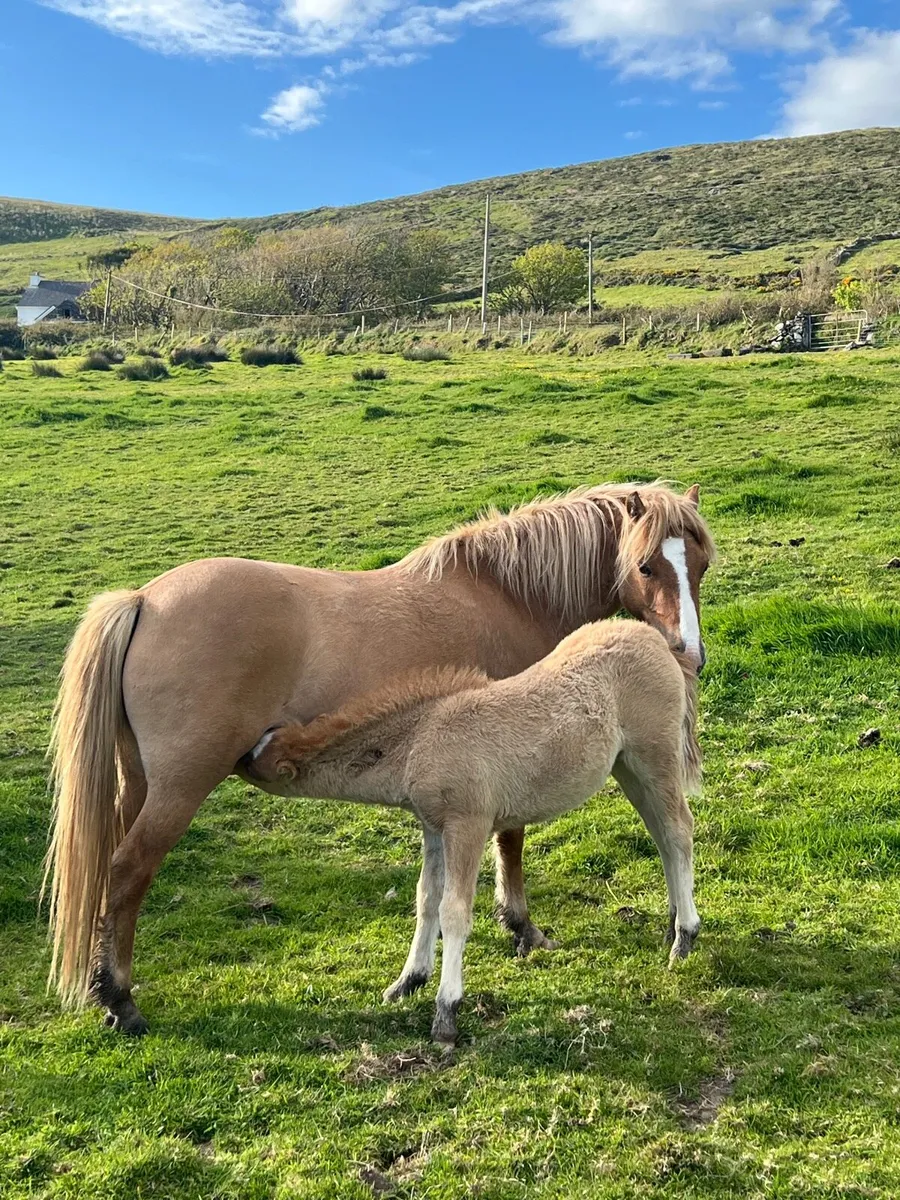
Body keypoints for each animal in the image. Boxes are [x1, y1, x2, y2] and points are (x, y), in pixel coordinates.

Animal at [243, 618, 702, 1045]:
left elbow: (454, 910)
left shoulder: (468, 824)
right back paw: (672, 921)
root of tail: (654, 639)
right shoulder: (433, 828)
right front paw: (408, 981)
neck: (420, 739)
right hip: (627, 766)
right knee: (661, 835)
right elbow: (426, 899)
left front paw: (446, 1011)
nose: (238, 756)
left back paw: (685, 937)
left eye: (255, 759)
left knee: (678, 830)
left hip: (654, 755)